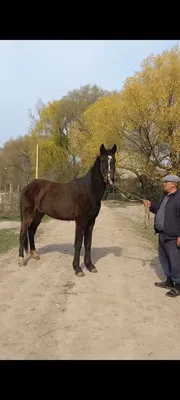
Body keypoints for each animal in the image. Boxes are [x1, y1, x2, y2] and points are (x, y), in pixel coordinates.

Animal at [18, 144, 116, 278]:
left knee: (31, 231)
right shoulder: (80, 221)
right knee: (23, 233)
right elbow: (78, 244)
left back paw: (35, 254)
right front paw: (77, 268)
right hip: (28, 215)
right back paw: (21, 260)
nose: (110, 181)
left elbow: (88, 243)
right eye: (103, 160)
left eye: (114, 161)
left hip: (38, 215)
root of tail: (26, 187)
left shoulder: (91, 221)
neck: (89, 190)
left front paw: (90, 266)